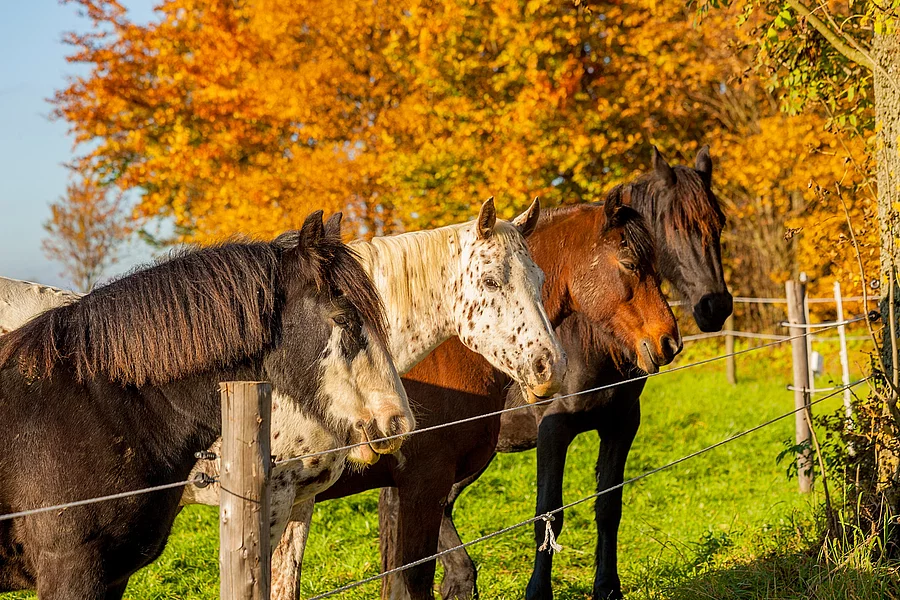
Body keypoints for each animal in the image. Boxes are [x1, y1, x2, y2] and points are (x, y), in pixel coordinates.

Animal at [436, 146, 732, 600]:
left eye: (719, 223)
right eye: (675, 225)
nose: (715, 306)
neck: (588, 339)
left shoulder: (621, 424)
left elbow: (609, 506)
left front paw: (608, 587)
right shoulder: (553, 430)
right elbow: (549, 514)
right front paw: (538, 591)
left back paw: (457, 579)